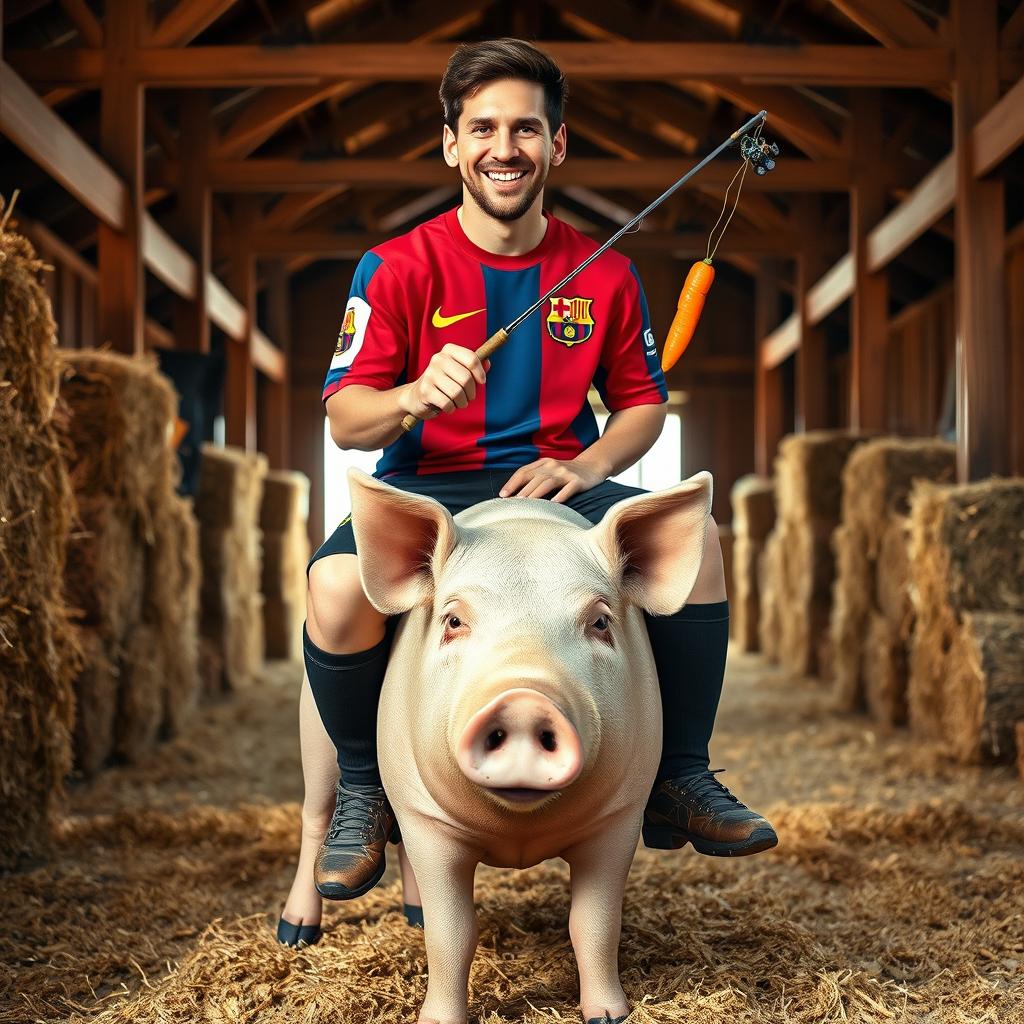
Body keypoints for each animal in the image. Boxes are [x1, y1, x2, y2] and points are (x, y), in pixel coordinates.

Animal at [344, 466, 712, 1024]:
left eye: (600, 621)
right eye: (453, 621)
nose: (522, 700)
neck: (518, 834)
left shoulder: (619, 817)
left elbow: (594, 923)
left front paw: (608, 1014)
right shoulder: (425, 819)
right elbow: (452, 933)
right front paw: (438, 1019)